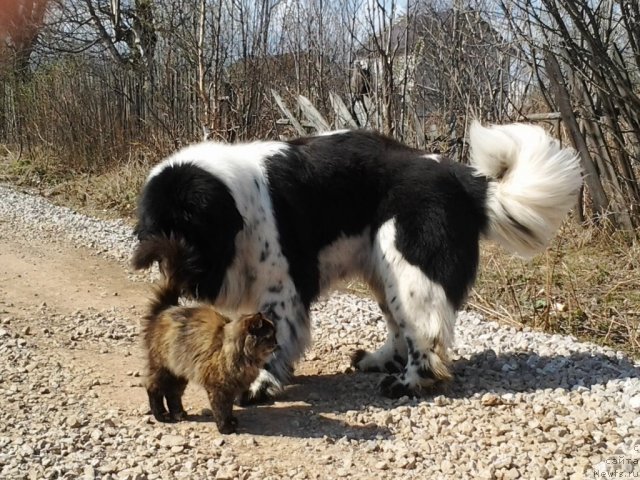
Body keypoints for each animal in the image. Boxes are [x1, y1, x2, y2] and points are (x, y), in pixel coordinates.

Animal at [135, 123, 584, 402]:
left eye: (189, 227)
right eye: (159, 233)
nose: (178, 272)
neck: (239, 203)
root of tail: (462, 177)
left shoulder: (282, 289)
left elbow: (273, 337)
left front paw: (261, 383)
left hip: (406, 263)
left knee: (425, 332)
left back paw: (408, 383)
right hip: (383, 269)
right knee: (400, 326)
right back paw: (380, 360)